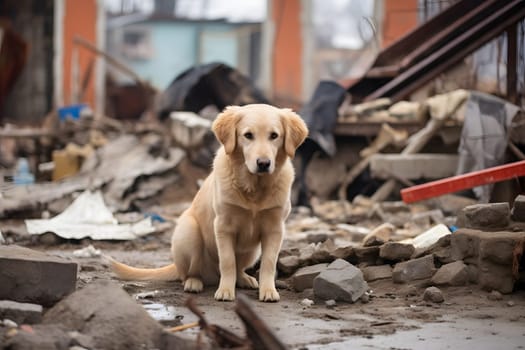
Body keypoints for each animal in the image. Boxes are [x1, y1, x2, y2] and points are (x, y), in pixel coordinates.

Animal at [110, 103, 308, 300]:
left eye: (274, 135)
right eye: (248, 135)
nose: (264, 163)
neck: (254, 188)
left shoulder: (275, 229)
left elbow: (269, 262)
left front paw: (268, 291)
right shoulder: (223, 225)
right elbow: (227, 261)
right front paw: (225, 291)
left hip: (252, 251)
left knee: (239, 267)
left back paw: (244, 279)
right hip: (189, 231)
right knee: (190, 272)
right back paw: (194, 282)